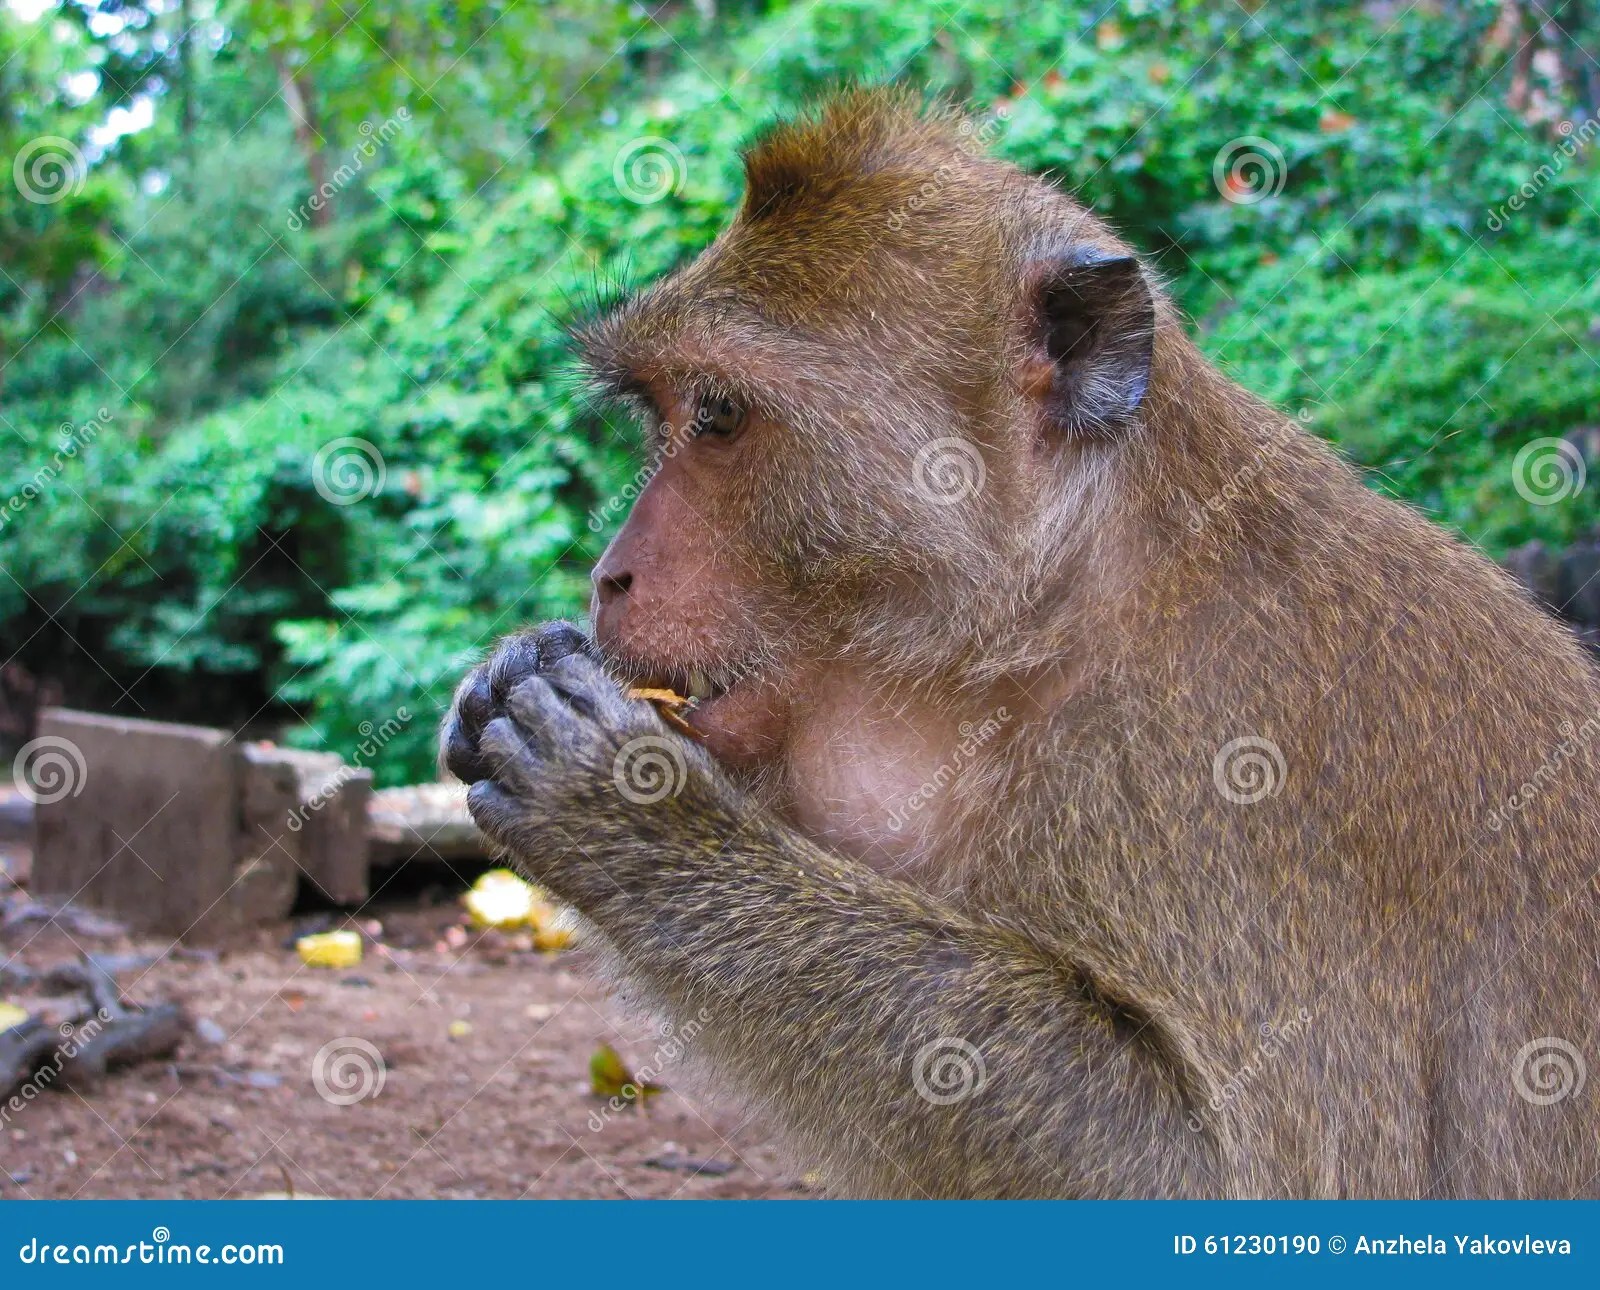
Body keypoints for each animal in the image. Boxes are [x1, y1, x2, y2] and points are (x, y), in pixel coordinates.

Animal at [441, 89, 1600, 1198]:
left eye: (720, 416)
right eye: (660, 415)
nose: (611, 574)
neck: (1052, 626)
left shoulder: (1223, 780)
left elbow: (1222, 1178)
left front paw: (636, 813)